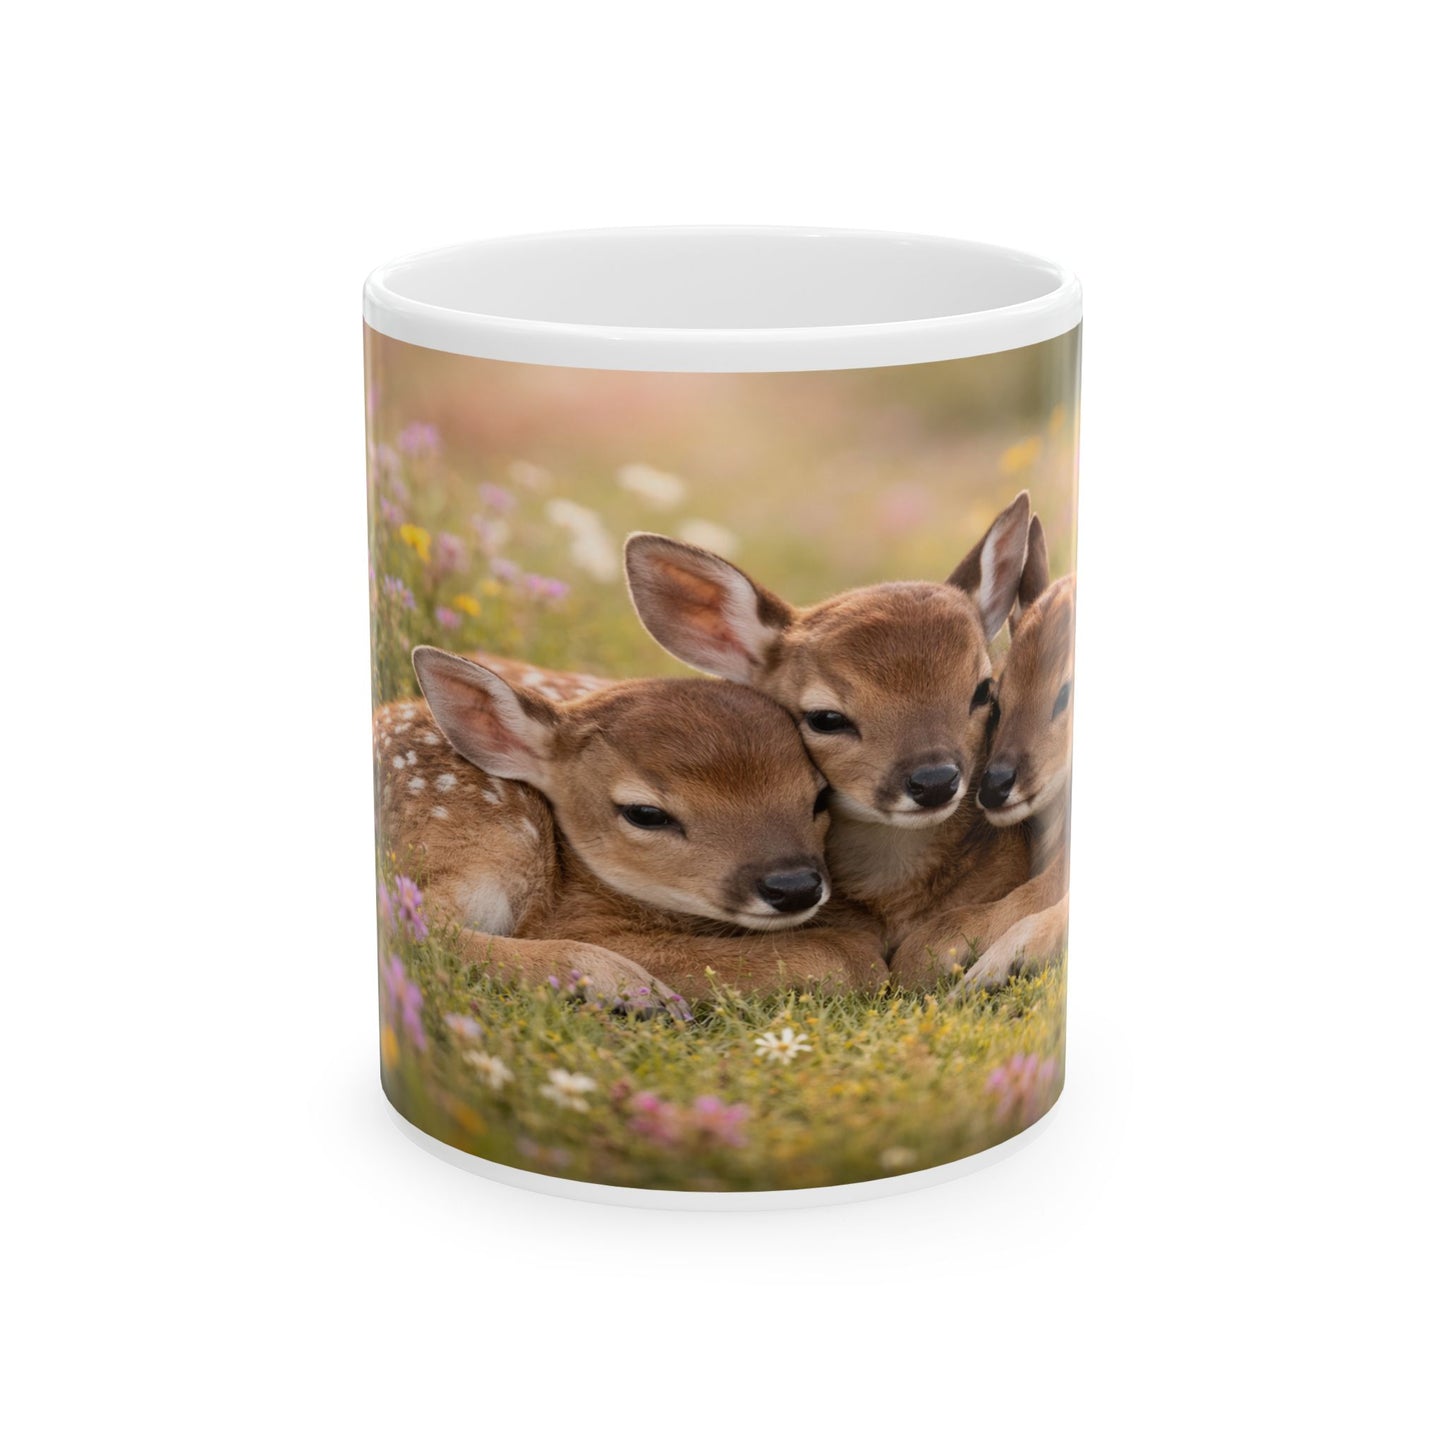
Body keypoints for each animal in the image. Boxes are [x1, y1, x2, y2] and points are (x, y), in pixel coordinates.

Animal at [374, 647, 887, 1020]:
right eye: (645, 813)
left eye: (819, 796)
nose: (793, 885)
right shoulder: (568, 920)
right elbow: (845, 955)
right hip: (491, 834)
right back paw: (626, 986)